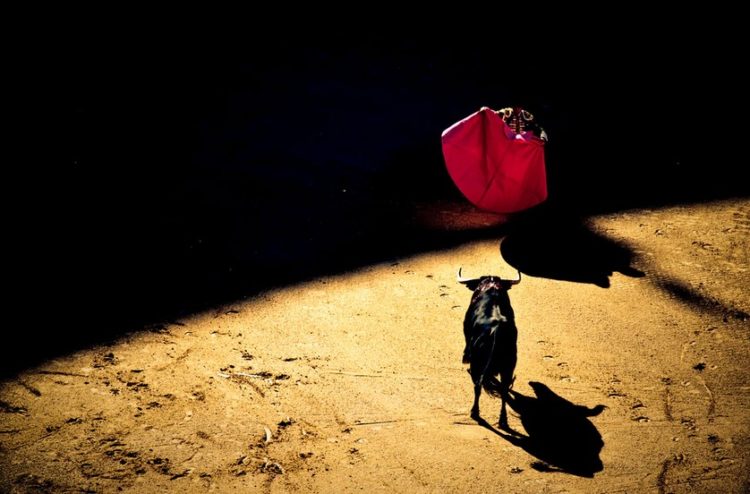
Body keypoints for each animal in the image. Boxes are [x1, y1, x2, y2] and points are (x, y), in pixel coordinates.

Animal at [458, 267, 521, 429]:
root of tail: (496, 329)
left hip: (478, 364)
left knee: (477, 386)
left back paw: (475, 412)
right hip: (508, 366)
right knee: (504, 390)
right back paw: (503, 420)